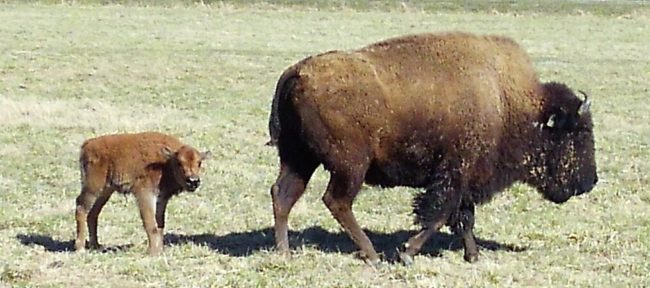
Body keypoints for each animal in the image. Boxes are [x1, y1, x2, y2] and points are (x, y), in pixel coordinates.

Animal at [74, 132, 210, 255]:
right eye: (179, 163)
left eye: (199, 163)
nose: (193, 181)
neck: (165, 163)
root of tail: (87, 144)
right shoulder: (145, 194)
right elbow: (150, 224)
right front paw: (153, 252)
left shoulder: (161, 198)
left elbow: (160, 224)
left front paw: (160, 250)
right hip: (93, 188)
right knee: (81, 208)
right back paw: (80, 248)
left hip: (105, 191)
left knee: (93, 213)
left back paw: (96, 246)